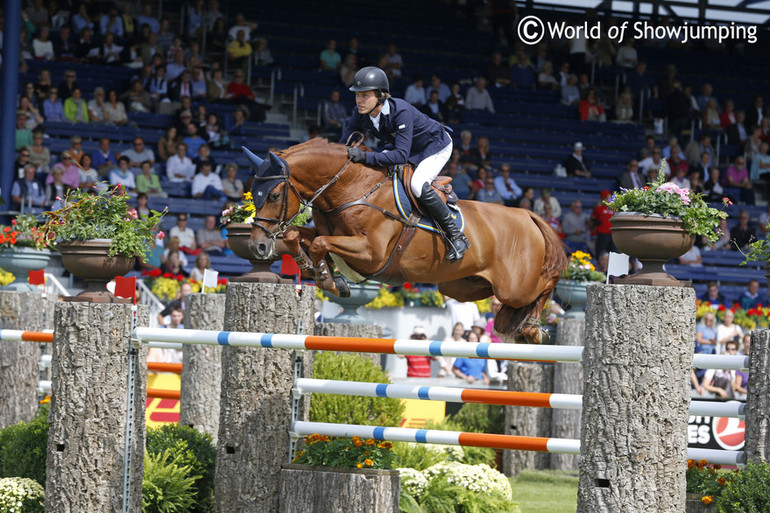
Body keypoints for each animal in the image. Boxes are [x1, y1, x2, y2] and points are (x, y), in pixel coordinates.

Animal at [243, 138, 568, 342]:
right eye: (254, 194)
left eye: (274, 195)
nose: (258, 245)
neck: (353, 188)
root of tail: (526, 214)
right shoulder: (333, 235)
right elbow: (297, 235)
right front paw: (319, 272)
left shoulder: (371, 253)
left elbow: (320, 243)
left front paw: (328, 278)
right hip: (461, 286)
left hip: (515, 286)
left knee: (545, 283)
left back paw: (533, 330)